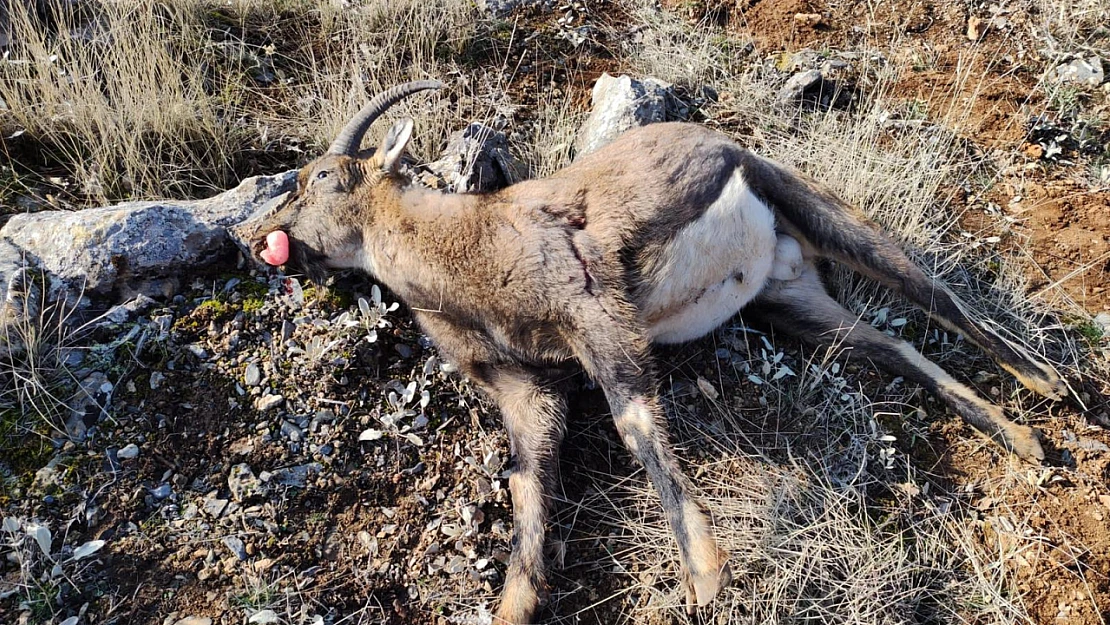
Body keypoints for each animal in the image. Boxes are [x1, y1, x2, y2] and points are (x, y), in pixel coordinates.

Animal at [227, 80, 1065, 621]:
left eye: (319, 179)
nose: (246, 235)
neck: (464, 252)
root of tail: (721, 138)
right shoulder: (526, 388)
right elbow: (529, 481)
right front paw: (516, 602)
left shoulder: (597, 312)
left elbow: (635, 426)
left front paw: (706, 577)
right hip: (792, 299)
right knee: (887, 343)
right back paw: (1018, 434)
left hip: (810, 205)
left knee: (933, 292)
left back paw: (1047, 388)